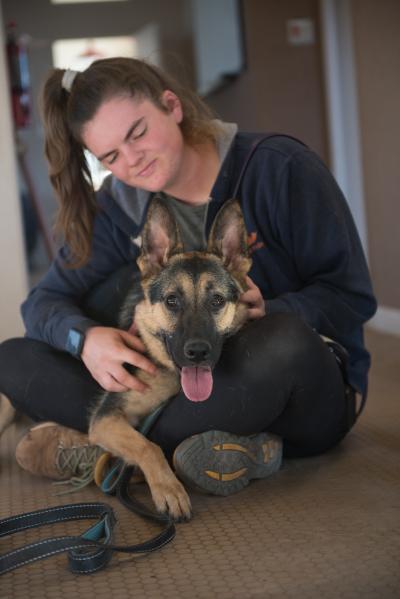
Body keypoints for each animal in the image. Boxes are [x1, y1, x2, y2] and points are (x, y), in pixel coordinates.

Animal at [88, 197, 250, 520]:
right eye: (172, 301)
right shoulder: (105, 420)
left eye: (217, 301)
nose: (197, 353)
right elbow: (147, 445)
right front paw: (168, 489)